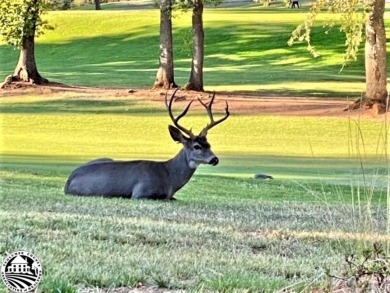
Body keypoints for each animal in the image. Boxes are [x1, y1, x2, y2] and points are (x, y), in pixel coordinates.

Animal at [64, 88, 229, 198]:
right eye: (196, 146)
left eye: (209, 144)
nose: (214, 159)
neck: (170, 178)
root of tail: (68, 181)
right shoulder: (140, 192)